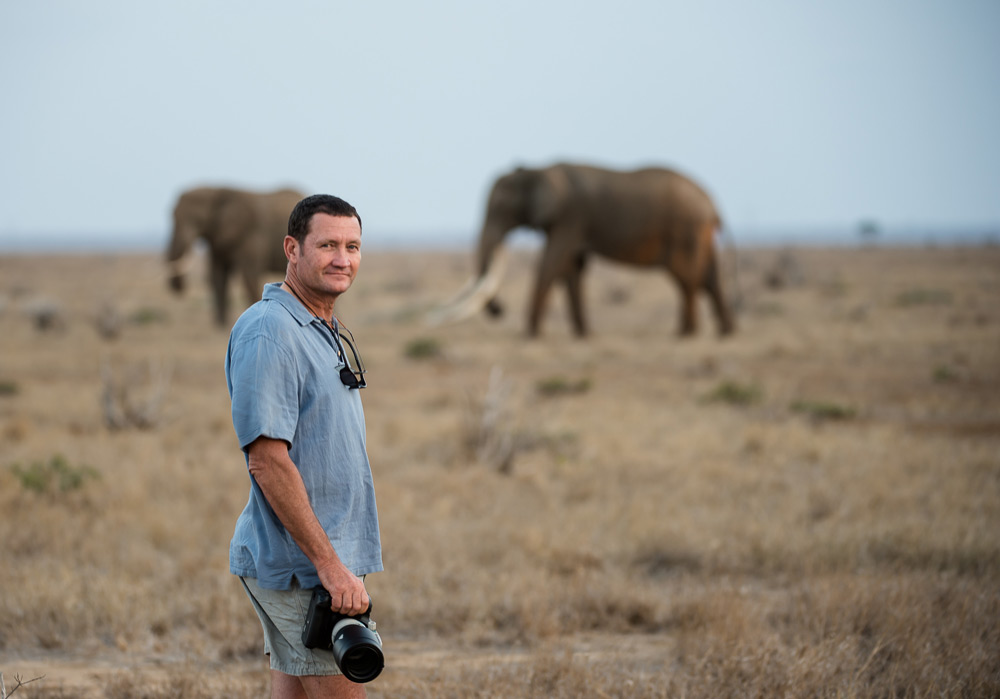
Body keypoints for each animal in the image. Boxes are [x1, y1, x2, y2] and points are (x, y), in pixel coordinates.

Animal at [164, 186, 302, 328]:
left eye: (197, 219)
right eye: (172, 215)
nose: (178, 288)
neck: (216, 191)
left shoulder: (250, 233)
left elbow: (249, 276)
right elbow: (218, 276)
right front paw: (221, 325)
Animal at [430, 164, 736, 340]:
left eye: (501, 209)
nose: (499, 310)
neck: (538, 169)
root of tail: (713, 205)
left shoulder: (570, 216)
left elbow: (551, 263)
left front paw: (531, 334)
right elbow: (572, 269)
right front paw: (583, 334)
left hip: (685, 230)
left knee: (687, 279)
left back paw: (686, 334)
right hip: (698, 234)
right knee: (708, 277)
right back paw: (725, 332)